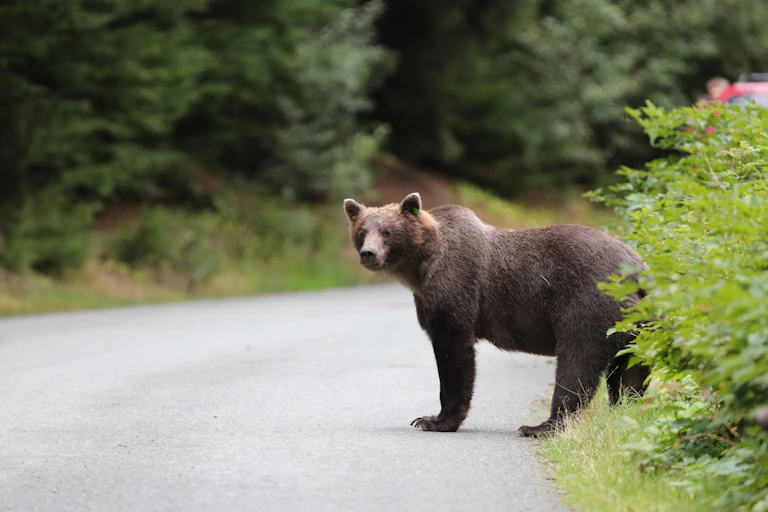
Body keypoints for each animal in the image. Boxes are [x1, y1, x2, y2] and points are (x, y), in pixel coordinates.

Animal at [343, 192, 650, 436]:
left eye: (387, 231)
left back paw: (540, 427)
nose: (368, 253)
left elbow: (453, 353)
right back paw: (623, 412)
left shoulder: (456, 287)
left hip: (588, 304)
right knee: (631, 371)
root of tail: (639, 269)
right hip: (637, 324)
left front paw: (433, 420)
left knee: (578, 361)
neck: (420, 268)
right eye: (362, 231)